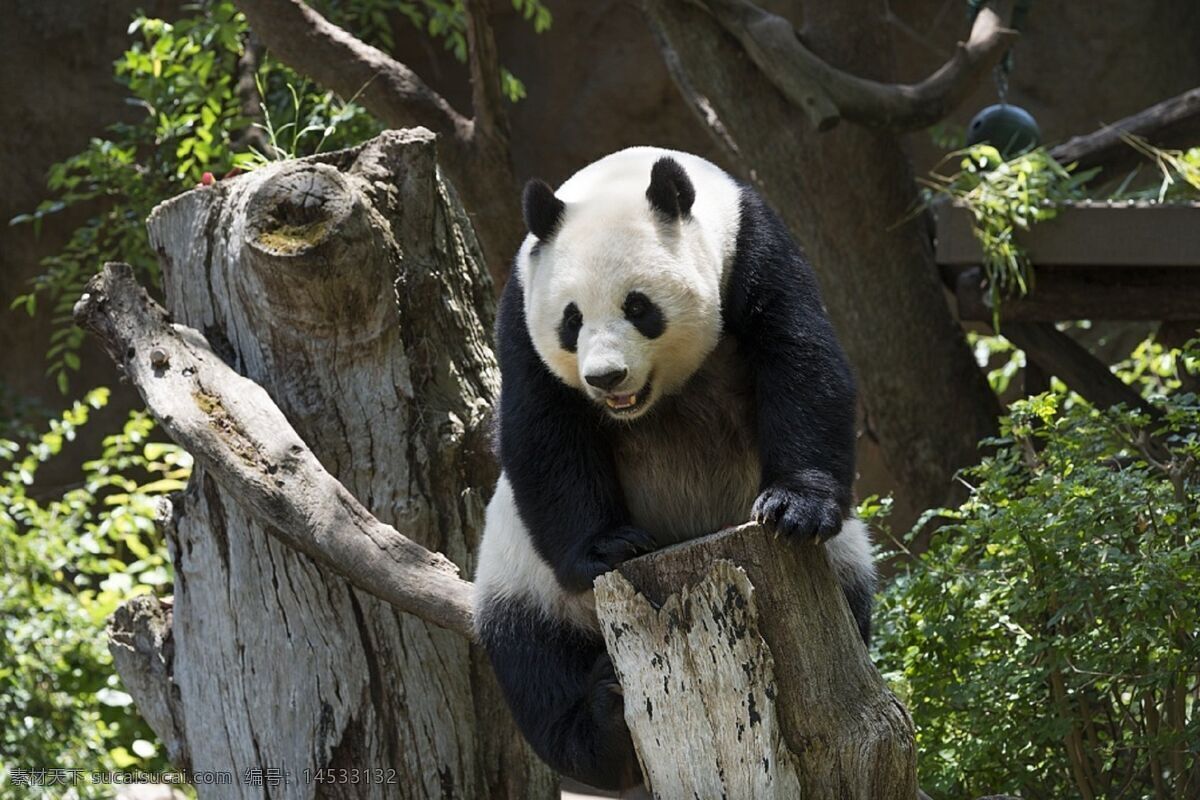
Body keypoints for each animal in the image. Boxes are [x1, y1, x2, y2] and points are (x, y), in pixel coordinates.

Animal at [472, 146, 878, 791]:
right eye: (570, 320)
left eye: (639, 307)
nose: (606, 377)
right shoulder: (520, 305)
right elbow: (543, 427)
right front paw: (610, 546)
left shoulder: (752, 249)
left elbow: (799, 357)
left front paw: (794, 507)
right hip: (522, 580)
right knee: (535, 665)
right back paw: (605, 723)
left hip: (844, 565)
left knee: (853, 592)